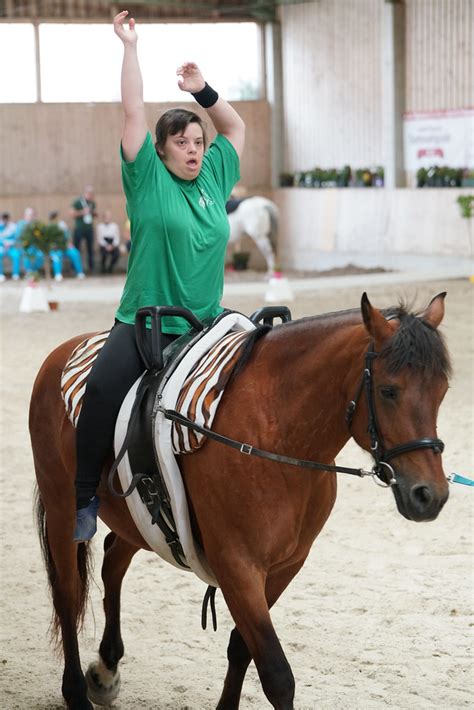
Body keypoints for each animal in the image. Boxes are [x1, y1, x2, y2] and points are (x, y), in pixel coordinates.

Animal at [30, 292, 452, 708]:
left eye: (443, 391)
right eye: (388, 390)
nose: (429, 495)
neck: (276, 435)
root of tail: (60, 353)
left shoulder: (286, 565)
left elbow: (241, 647)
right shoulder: (237, 565)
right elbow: (277, 675)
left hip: (140, 521)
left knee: (113, 562)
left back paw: (106, 670)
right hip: (62, 507)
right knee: (67, 591)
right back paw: (76, 692)